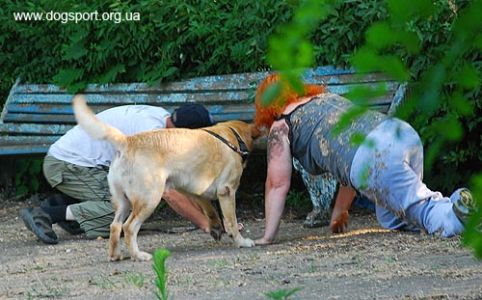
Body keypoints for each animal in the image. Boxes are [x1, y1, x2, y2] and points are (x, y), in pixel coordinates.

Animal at [72, 95, 260, 260]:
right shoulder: (227, 191)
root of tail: (127, 140)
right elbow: (232, 221)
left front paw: (215, 228)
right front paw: (241, 241)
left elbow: (211, 211)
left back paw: (115, 255)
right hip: (150, 198)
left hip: (123, 202)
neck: (233, 136)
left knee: (115, 226)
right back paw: (138, 255)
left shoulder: (197, 192)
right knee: (129, 227)